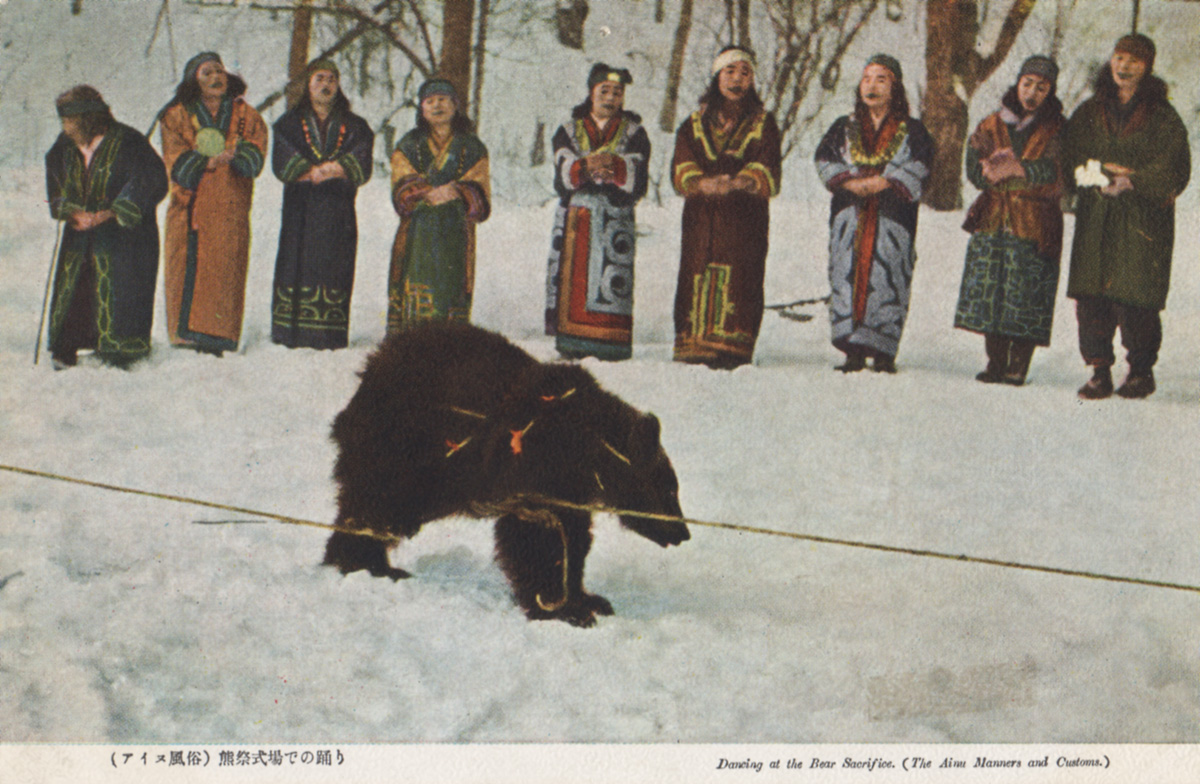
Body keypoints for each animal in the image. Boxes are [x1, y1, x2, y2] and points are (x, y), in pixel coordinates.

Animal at [324, 321, 691, 629]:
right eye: (670, 490)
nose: (683, 533)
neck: (585, 444)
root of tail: (370, 368)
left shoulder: (571, 490)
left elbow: (573, 538)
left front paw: (588, 598)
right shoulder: (534, 470)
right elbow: (535, 537)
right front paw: (560, 608)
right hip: (405, 447)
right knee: (378, 502)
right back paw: (369, 564)